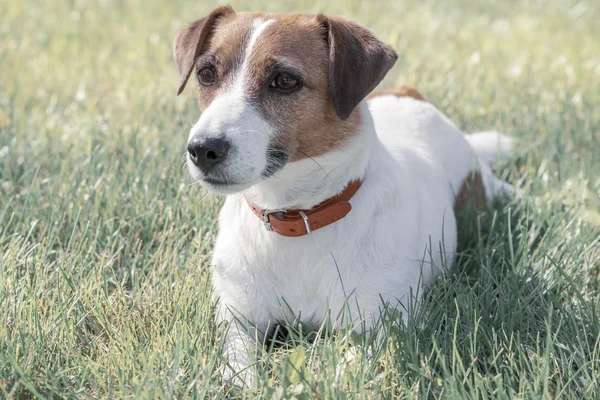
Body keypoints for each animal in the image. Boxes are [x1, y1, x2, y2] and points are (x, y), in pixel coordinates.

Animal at [171, 7, 512, 388]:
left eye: (284, 80)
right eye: (206, 74)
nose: (202, 149)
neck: (296, 217)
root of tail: (410, 94)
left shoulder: (384, 327)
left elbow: (343, 369)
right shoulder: (237, 319)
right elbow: (238, 369)